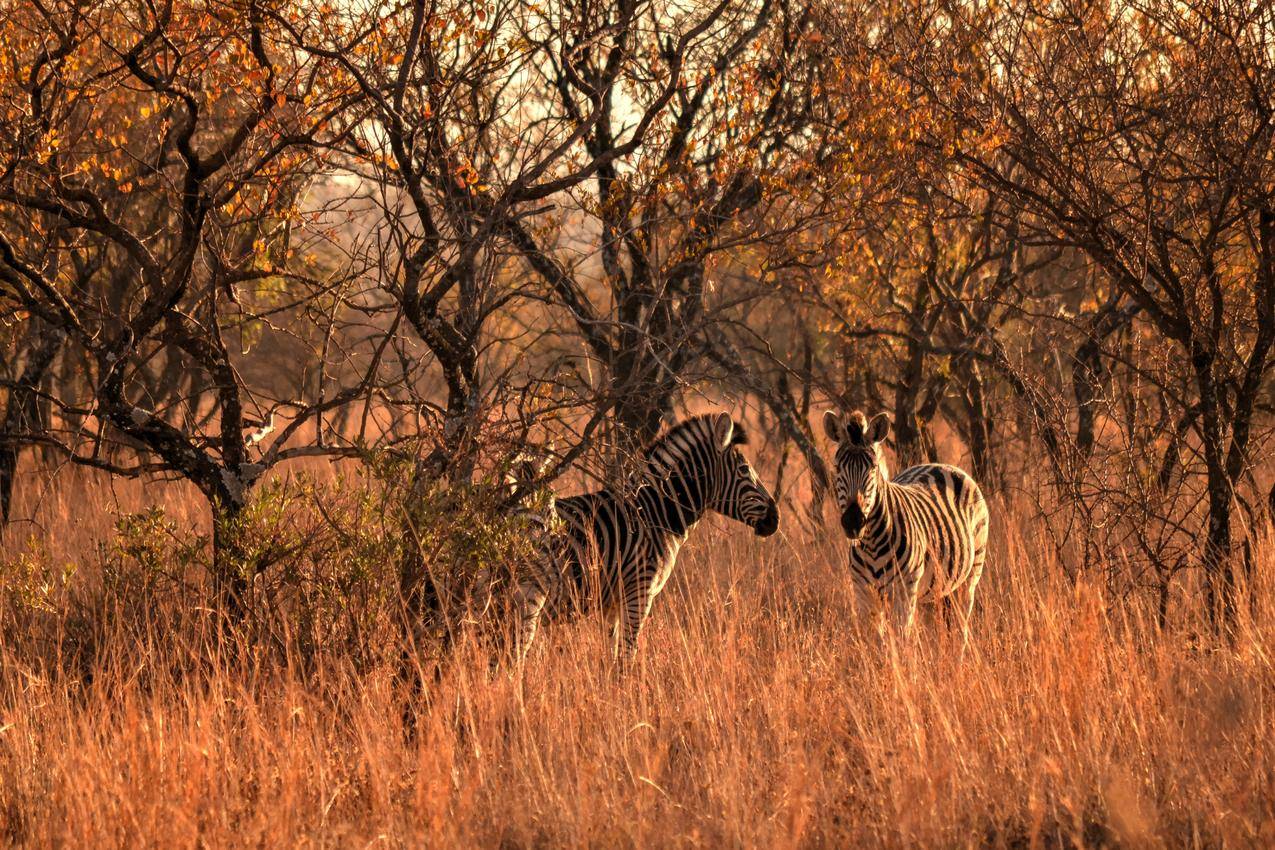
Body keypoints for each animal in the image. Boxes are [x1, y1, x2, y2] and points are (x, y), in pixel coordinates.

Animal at [512, 412, 780, 662]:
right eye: (744, 470)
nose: (775, 519)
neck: (654, 514)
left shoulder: (612, 603)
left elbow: (612, 655)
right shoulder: (639, 591)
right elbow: (627, 657)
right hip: (528, 597)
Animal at [821, 407, 989, 642]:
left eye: (872, 468)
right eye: (837, 468)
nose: (853, 522)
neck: (871, 543)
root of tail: (940, 465)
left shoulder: (904, 593)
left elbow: (901, 641)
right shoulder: (863, 593)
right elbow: (874, 642)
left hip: (970, 576)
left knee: (960, 632)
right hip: (934, 591)